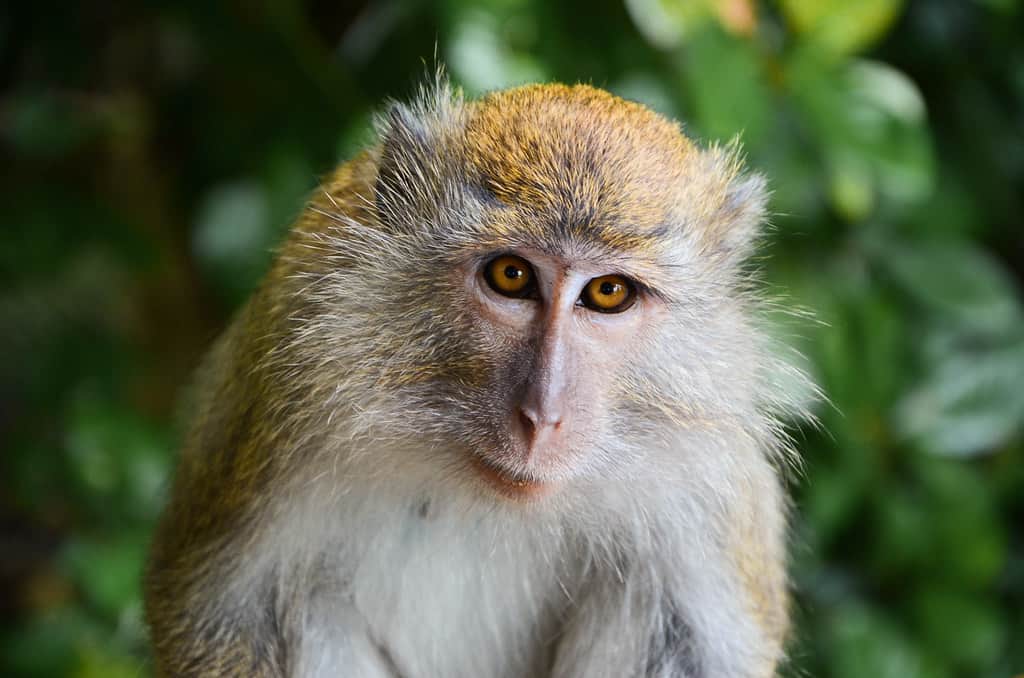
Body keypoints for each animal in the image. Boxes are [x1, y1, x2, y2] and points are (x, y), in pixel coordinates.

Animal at [144, 79, 806, 678]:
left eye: (608, 293)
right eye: (511, 275)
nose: (543, 416)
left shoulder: (712, 481)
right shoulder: (289, 385)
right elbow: (223, 615)